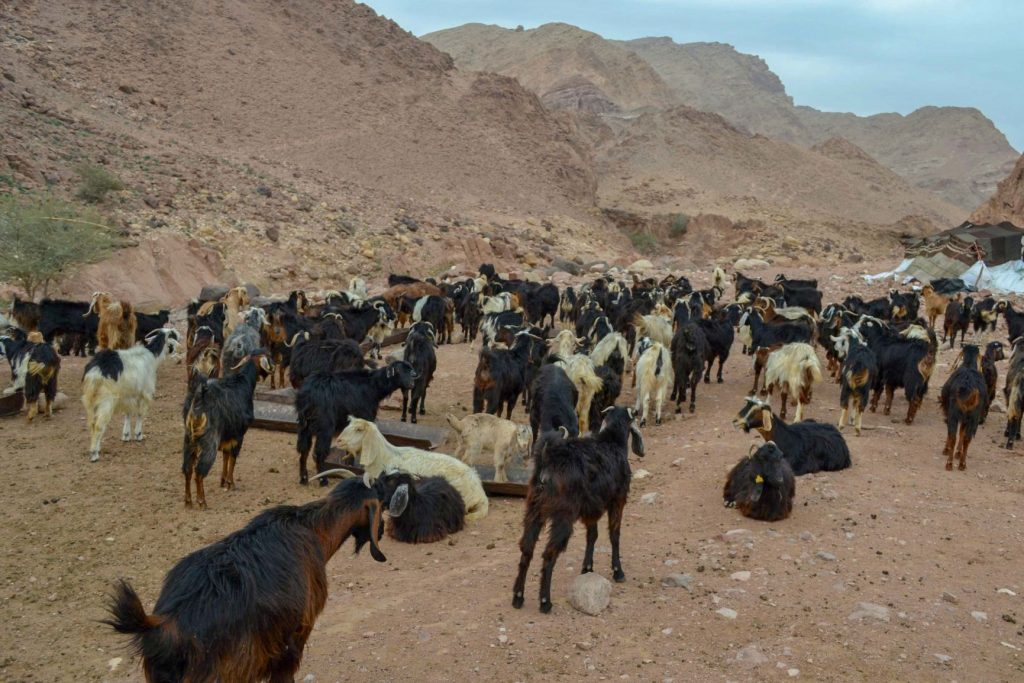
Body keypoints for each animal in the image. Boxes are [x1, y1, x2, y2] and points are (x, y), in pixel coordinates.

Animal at [83, 327, 182, 464]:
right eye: (174, 337)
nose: (180, 350)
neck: (151, 356)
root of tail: (96, 370)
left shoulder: (128, 395)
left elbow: (128, 413)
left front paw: (126, 435)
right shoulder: (144, 393)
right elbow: (140, 413)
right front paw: (139, 435)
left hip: (90, 399)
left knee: (92, 424)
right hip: (106, 400)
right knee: (98, 425)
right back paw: (94, 454)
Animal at [182, 352, 274, 507]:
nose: (273, 368)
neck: (243, 383)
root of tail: (200, 401)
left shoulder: (227, 436)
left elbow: (225, 456)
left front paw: (223, 481)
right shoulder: (239, 435)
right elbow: (233, 457)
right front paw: (231, 483)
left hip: (190, 441)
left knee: (187, 469)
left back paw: (188, 500)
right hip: (209, 442)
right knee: (199, 471)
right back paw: (202, 501)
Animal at [509, 405, 643, 614]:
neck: (612, 442)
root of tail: (547, 461)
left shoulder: (591, 509)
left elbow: (592, 535)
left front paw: (587, 568)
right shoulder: (618, 500)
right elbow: (614, 535)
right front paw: (618, 571)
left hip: (534, 511)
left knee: (526, 550)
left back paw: (518, 597)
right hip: (563, 516)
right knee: (549, 554)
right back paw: (545, 601)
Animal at [937, 344, 987, 473]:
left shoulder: (951, 414)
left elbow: (954, 434)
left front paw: (948, 450)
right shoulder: (966, 419)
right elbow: (962, 433)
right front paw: (958, 453)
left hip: (953, 414)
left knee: (953, 435)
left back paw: (949, 462)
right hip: (973, 418)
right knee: (967, 438)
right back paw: (962, 464)